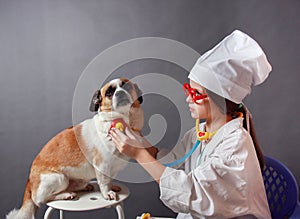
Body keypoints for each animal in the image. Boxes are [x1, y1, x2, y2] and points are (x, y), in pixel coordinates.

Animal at [6, 78, 154, 218]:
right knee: (42, 199)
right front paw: (107, 193)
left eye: (126, 86)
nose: (120, 93)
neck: (122, 120)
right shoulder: (102, 165)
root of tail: (30, 180)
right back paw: (66, 195)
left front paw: (112, 187)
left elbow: (109, 180)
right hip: (59, 178)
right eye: (109, 93)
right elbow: (104, 182)